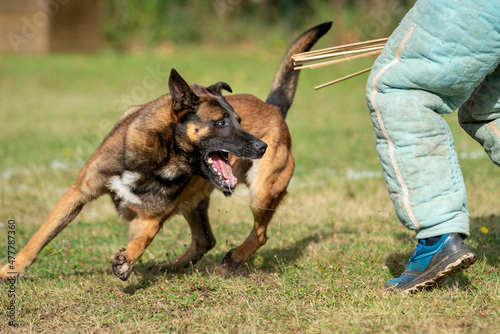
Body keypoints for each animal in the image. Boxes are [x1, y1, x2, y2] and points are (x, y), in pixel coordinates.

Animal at [0, 22, 332, 280]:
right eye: (221, 122)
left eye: (239, 120)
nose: (262, 146)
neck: (158, 155)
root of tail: (275, 108)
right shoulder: (79, 192)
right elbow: (40, 236)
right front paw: (11, 270)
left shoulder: (150, 217)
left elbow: (141, 240)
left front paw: (126, 261)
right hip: (195, 204)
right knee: (204, 241)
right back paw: (169, 266)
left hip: (262, 191)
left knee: (258, 234)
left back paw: (236, 256)